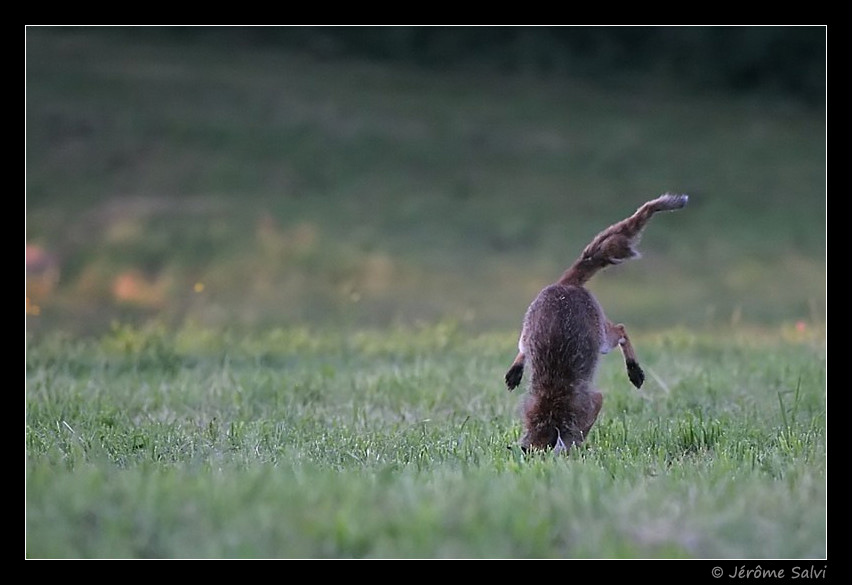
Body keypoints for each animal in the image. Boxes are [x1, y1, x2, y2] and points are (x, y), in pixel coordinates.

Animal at [505, 193, 688, 453]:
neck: (551, 401)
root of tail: (565, 285)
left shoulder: (593, 401)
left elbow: (587, 422)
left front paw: (579, 447)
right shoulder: (531, 406)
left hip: (602, 339)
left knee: (621, 329)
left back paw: (634, 370)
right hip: (528, 333)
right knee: (521, 349)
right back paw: (515, 372)